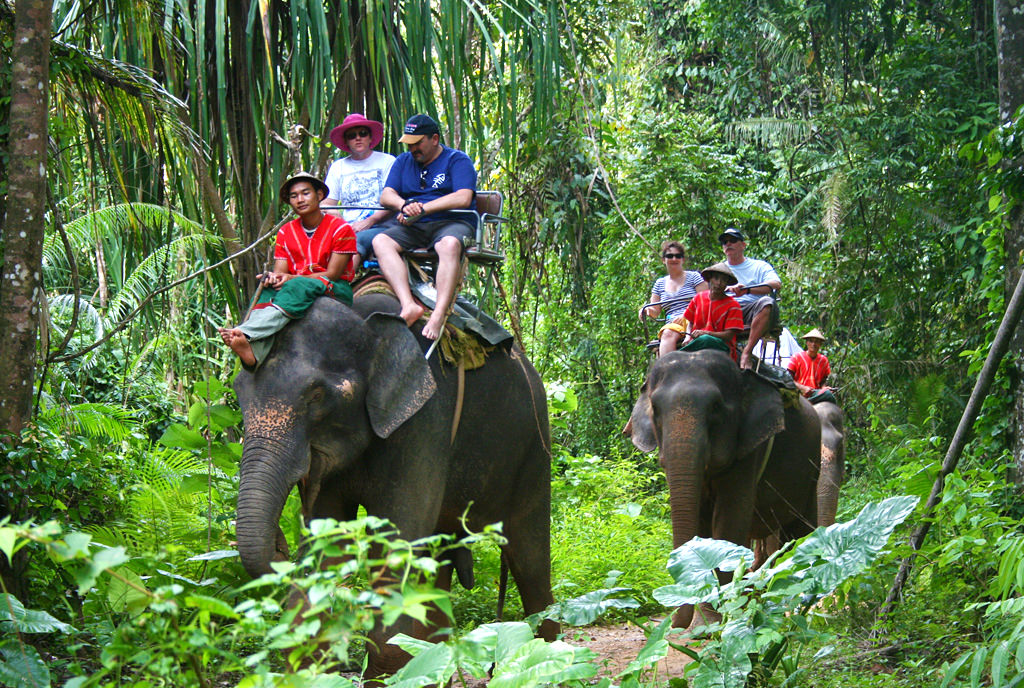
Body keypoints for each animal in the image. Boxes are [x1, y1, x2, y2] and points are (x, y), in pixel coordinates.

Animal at [232, 292, 557, 675]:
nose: (282, 544)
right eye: (238, 393)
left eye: (316, 395)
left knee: (529, 558)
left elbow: (397, 546)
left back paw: (553, 656)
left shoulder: (424, 423)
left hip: (534, 449)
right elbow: (329, 547)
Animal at [622, 350, 823, 630]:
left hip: (812, 468)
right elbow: (701, 524)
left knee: (798, 534)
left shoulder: (749, 449)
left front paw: (709, 624)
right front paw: (702, 624)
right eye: (656, 408)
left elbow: (727, 521)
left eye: (716, 407)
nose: (674, 623)